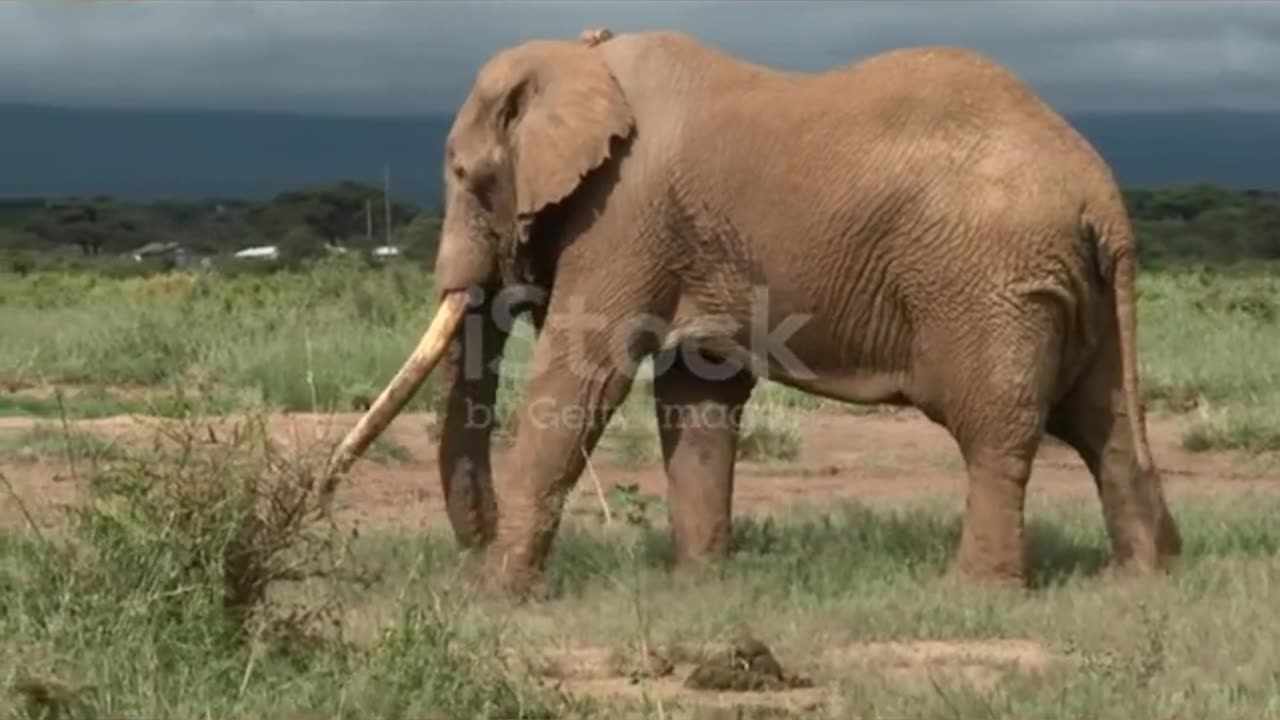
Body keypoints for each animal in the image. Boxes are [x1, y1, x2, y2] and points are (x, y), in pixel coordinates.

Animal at [320, 26, 1177, 594]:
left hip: (990, 281)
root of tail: (1101, 191)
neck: (582, 55)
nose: (321, 497)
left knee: (998, 430)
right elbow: (696, 396)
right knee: (1102, 425)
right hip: (1068, 284)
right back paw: (1142, 580)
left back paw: (974, 591)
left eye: (469, 178)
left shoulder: (624, 214)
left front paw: (495, 597)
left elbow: (584, 375)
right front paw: (702, 587)